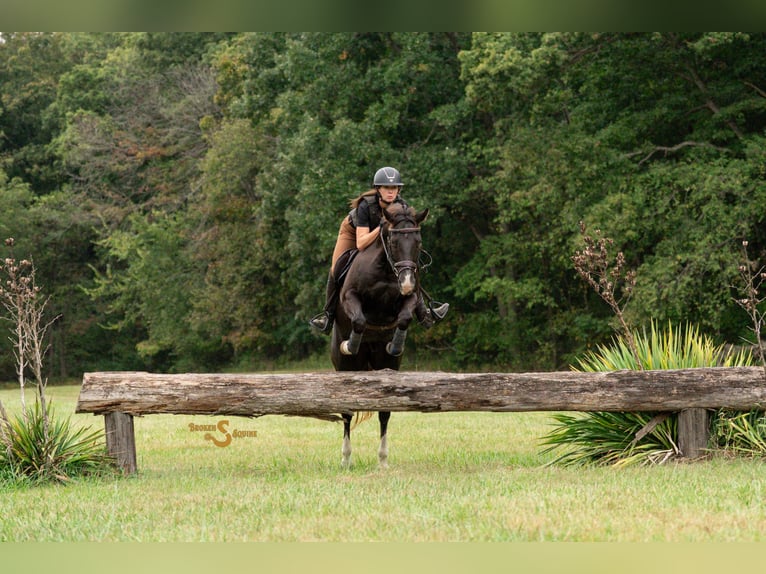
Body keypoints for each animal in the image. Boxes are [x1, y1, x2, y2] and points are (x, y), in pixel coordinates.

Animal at [331, 202, 429, 468]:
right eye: (393, 242)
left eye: (418, 242)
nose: (406, 282)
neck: (385, 270)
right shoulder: (350, 297)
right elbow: (359, 320)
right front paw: (351, 344)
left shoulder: (410, 299)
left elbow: (405, 317)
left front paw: (395, 344)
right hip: (345, 368)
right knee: (346, 411)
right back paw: (345, 458)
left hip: (387, 367)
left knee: (385, 411)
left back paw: (382, 460)